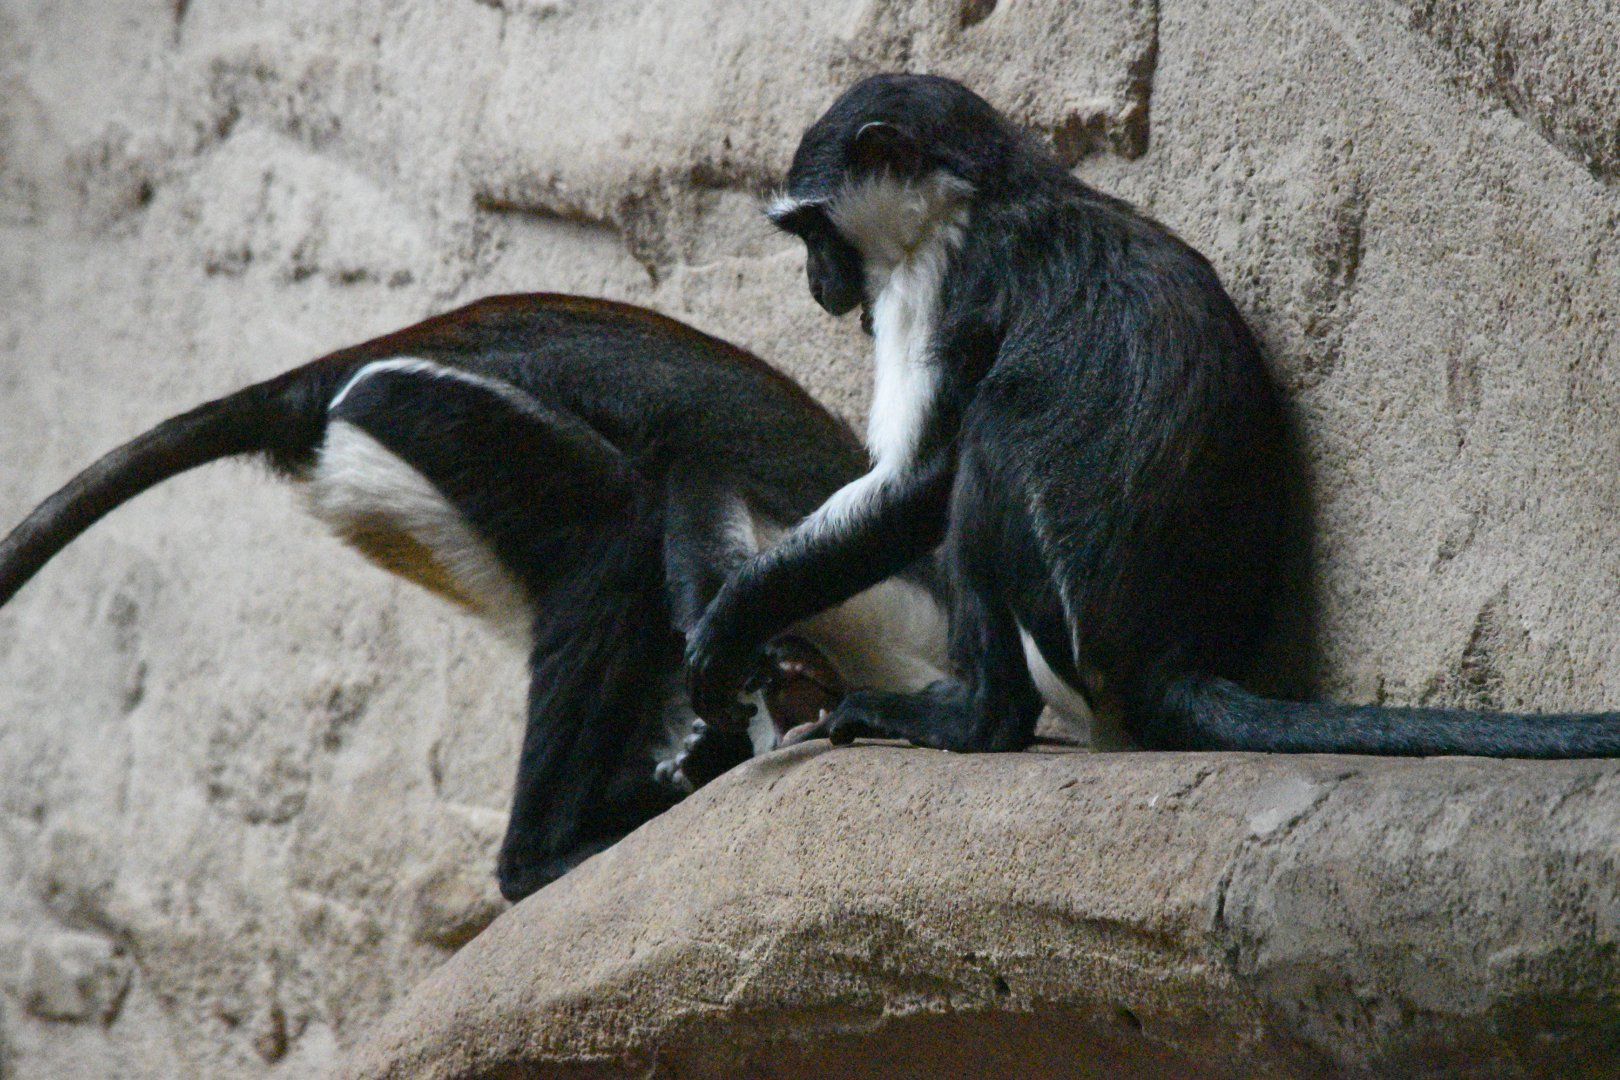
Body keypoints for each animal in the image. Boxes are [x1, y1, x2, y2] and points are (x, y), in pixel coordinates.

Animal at [0, 293, 949, 902]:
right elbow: (696, 477)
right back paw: (538, 860)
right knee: (615, 531)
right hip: (433, 410)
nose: (786, 709)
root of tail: (340, 367)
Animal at [684, 72, 1620, 759]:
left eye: (814, 232)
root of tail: (1166, 666)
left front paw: (732, 619)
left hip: (1060, 646)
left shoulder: (936, 284)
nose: (817, 282)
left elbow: (915, 486)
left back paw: (975, 720)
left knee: (988, 449)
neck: (990, 190)